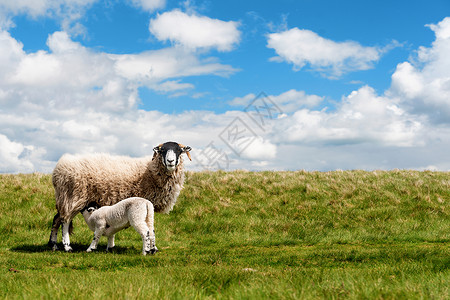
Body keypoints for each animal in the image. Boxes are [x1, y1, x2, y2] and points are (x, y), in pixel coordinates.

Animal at [48, 142, 192, 252]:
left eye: (179, 150)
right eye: (162, 150)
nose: (170, 161)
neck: (151, 170)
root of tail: (58, 168)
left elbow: (151, 227)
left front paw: (153, 248)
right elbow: (149, 227)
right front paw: (151, 248)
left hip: (66, 198)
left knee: (57, 219)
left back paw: (53, 245)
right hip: (72, 197)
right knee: (65, 221)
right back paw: (67, 247)